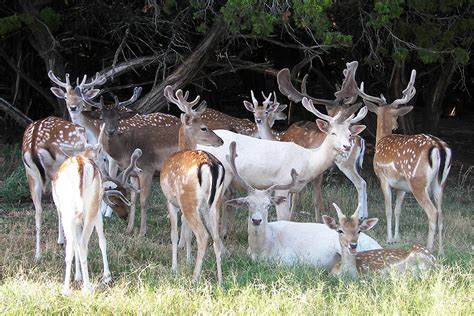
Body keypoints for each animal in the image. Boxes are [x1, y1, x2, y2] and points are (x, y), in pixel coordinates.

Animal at [160, 85, 225, 286]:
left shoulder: (171, 200)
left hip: (188, 197)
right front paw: (187, 261)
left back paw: (195, 279)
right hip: (214, 203)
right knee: (216, 237)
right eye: (204, 127)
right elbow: (187, 233)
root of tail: (210, 165)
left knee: (203, 236)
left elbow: (174, 234)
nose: (220, 140)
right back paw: (221, 280)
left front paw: (174, 268)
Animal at [356, 68, 452, 254]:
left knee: (433, 212)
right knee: (442, 213)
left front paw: (389, 238)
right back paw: (442, 251)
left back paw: (428, 248)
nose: (396, 126)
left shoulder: (383, 178)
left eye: (396, 115)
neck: (380, 141)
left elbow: (387, 209)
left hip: (418, 182)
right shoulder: (402, 186)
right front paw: (396, 238)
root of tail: (439, 147)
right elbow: (398, 210)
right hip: (440, 183)